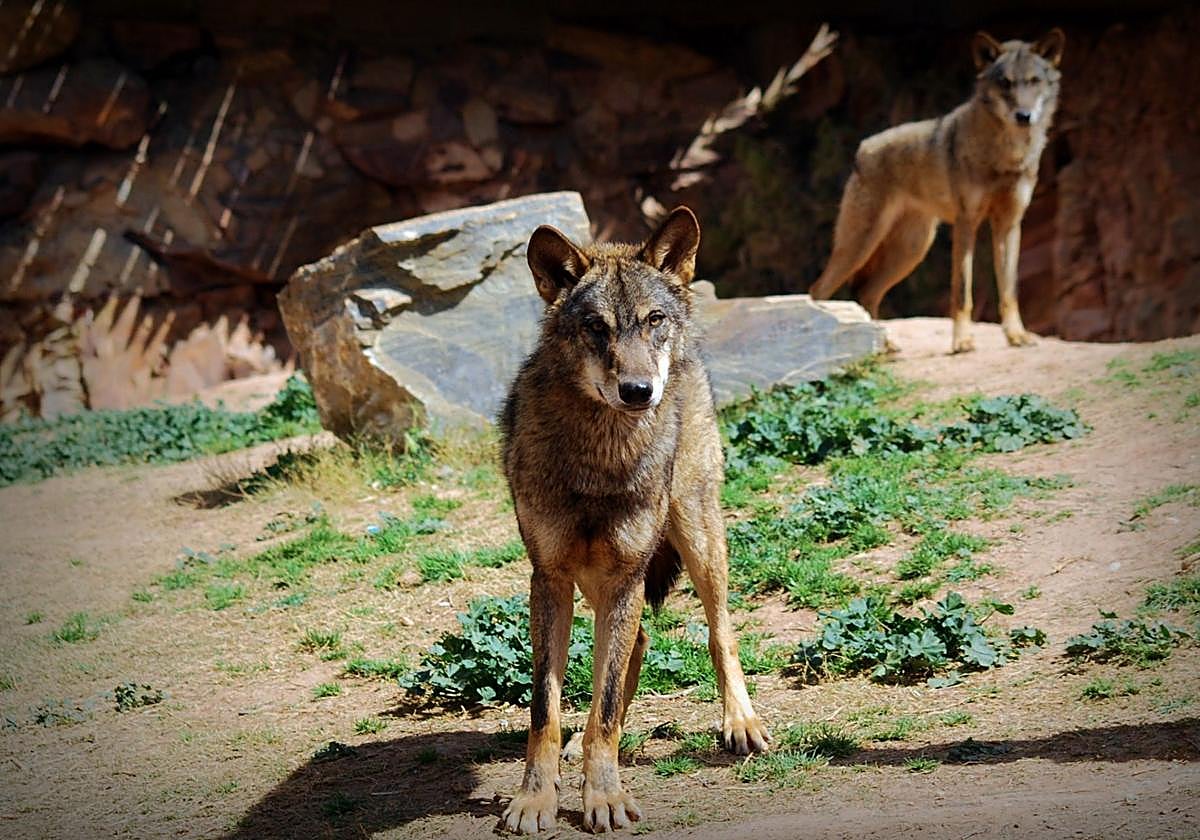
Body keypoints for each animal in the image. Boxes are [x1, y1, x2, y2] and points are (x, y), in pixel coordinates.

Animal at [499, 207, 770, 834]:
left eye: (653, 321)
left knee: (719, 631)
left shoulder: (625, 574)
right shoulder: (550, 579)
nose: (639, 391)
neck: (601, 460)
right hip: (604, 580)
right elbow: (546, 709)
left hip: (696, 536)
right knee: (636, 645)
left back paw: (740, 724)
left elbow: (602, 709)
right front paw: (535, 799)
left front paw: (602, 797)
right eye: (596, 328)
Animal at [809, 29, 1065, 353]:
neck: (1007, 154)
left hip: (911, 251)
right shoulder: (967, 223)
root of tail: (862, 149)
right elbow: (962, 291)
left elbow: (1009, 291)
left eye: (1034, 81)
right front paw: (963, 342)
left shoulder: (1009, 224)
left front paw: (1016, 336)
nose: (1024, 115)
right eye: (1005, 83)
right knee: (818, 290)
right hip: (861, 246)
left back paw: (884, 346)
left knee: (865, 293)